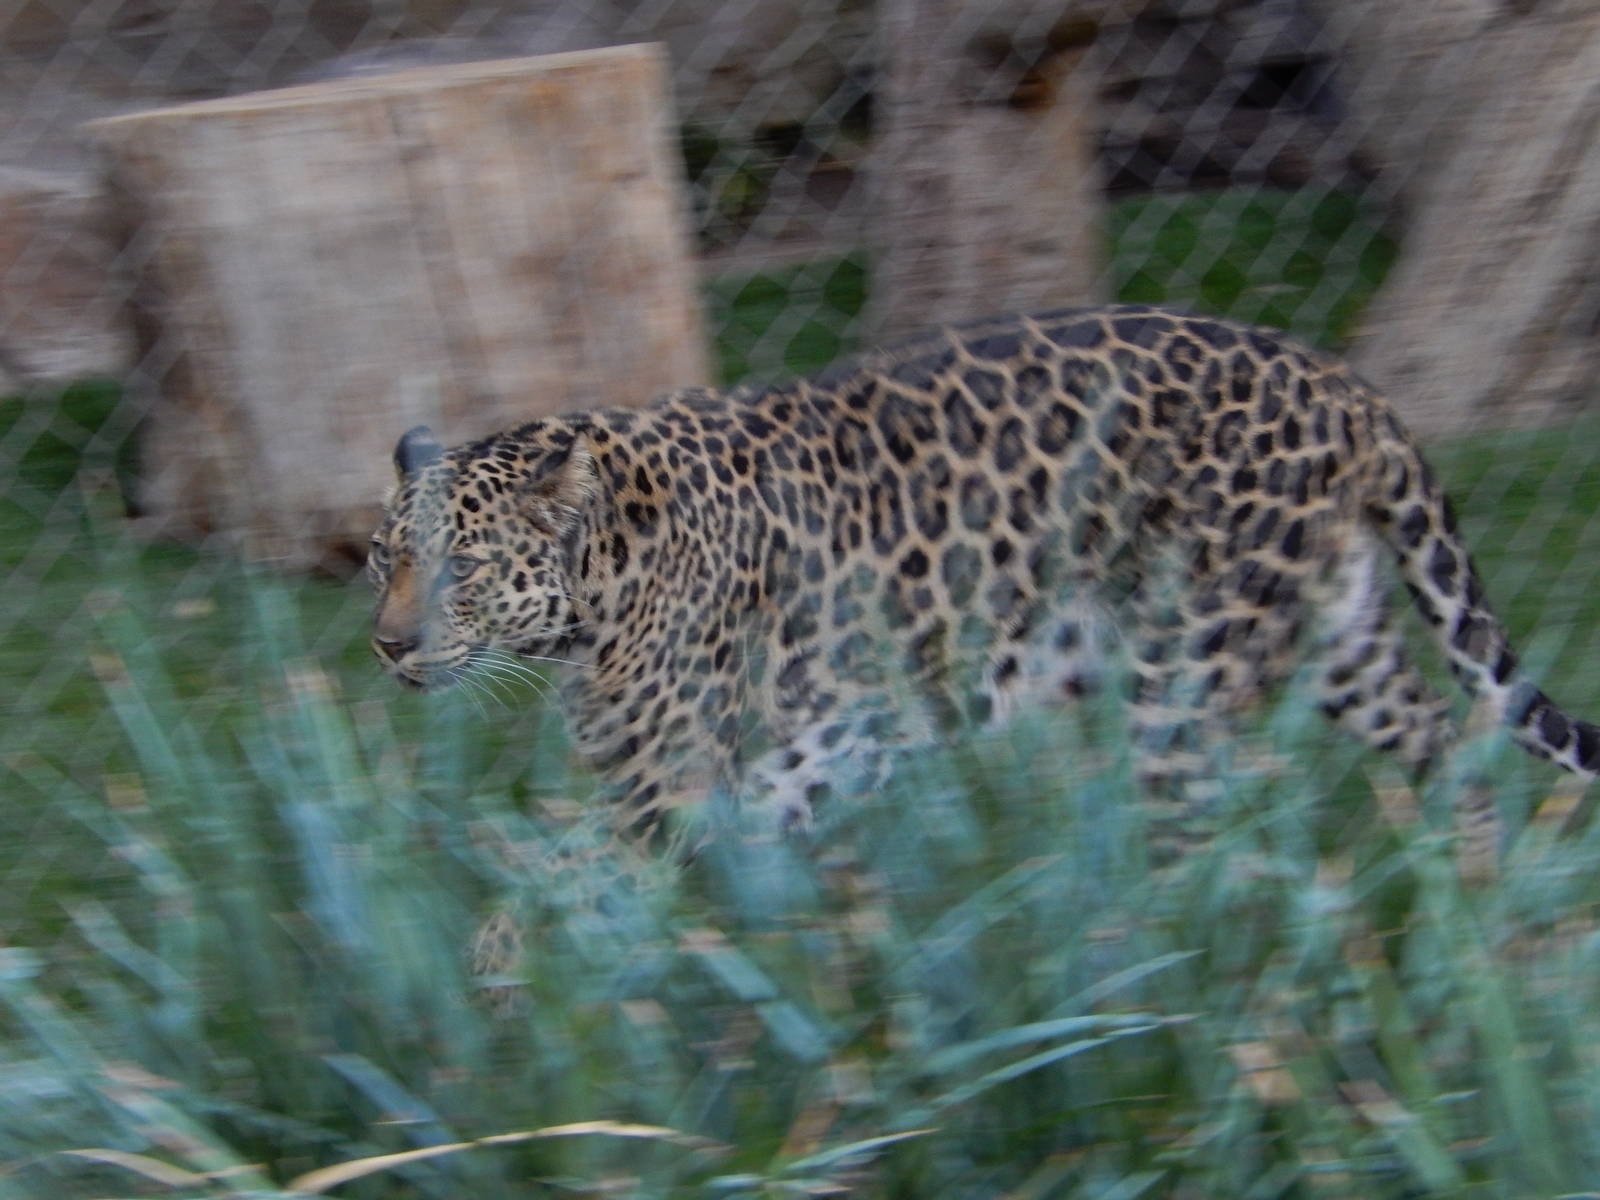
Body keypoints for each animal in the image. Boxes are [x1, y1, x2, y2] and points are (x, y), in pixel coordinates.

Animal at [368, 304, 1600, 862]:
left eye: (463, 568)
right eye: (386, 561)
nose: (385, 646)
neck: (596, 589)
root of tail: (1346, 384)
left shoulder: (667, 789)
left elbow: (574, 893)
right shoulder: (788, 761)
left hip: (1187, 680)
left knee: (1201, 844)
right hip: (1336, 637)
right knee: (1447, 744)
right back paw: (1472, 907)